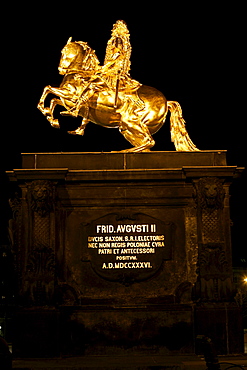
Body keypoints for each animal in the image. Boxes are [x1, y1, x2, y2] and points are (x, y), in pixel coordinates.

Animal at [37, 38, 199, 152]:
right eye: (62, 51)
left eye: (67, 51)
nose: (60, 69)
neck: (80, 75)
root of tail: (166, 102)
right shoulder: (67, 100)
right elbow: (53, 100)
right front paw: (53, 120)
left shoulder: (71, 96)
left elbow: (48, 89)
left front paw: (47, 112)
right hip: (127, 129)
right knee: (146, 144)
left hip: (132, 123)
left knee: (149, 141)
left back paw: (122, 151)